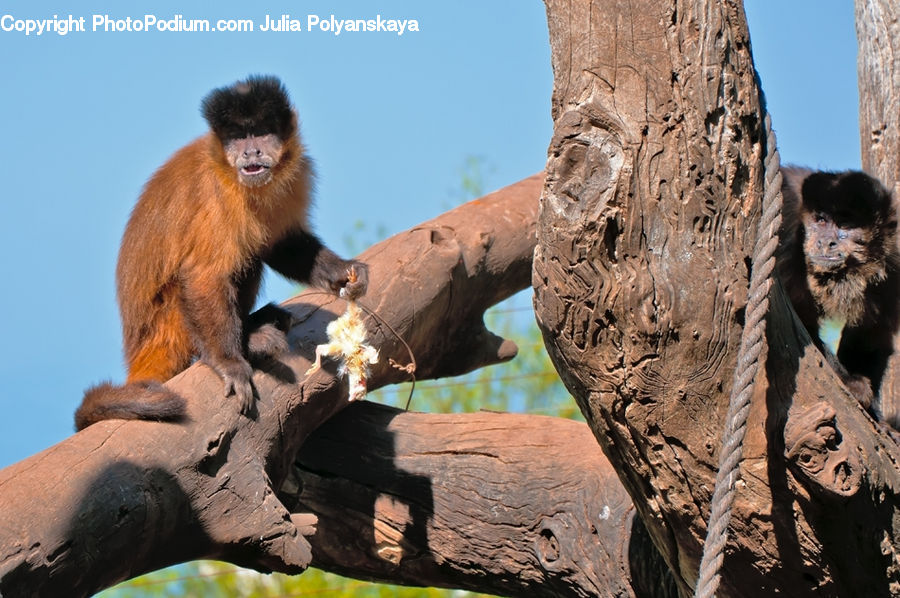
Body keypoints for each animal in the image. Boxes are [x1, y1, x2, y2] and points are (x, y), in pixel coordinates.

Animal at [75, 75, 368, 430]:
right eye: (239, 137)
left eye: (261, 131)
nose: (251, 151)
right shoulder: (219, 193)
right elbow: (202, 275)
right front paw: (226, 361)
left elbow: (281, 245)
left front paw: (343, 271)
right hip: (171, 326)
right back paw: (241, 343)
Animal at [776, 166, 900, 421]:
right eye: (821, 220)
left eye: (845, 225)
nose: (826, 242)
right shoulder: (788, 226)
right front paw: (850, 382)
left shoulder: (892, 263)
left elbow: (871, 337)